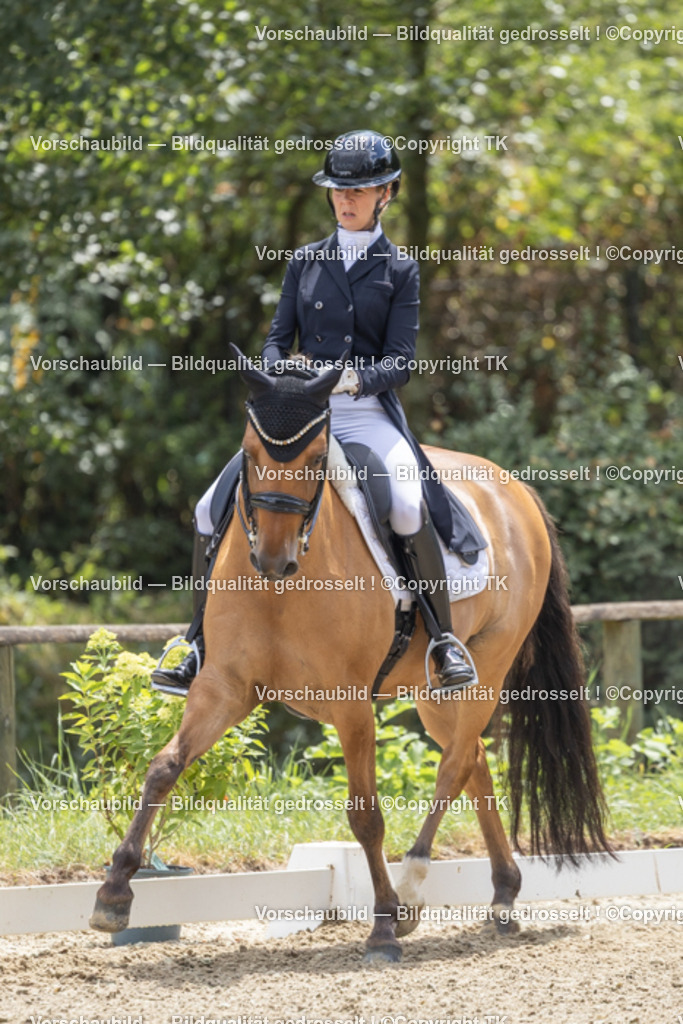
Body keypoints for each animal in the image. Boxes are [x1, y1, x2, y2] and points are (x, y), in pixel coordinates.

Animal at [90, 354, 612, 963]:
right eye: (249, 454)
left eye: (316, 460)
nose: (272, 559)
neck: (281, 589)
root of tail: (515, 489)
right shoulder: (224, 686)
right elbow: (163, 768)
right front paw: (114, 893)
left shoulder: (351, 704)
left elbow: (365, 815)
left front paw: (384, 925)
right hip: (434, 692)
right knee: (474, 761)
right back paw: (502, 897)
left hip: (489, 665)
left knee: (454, 765)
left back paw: (412, 888)